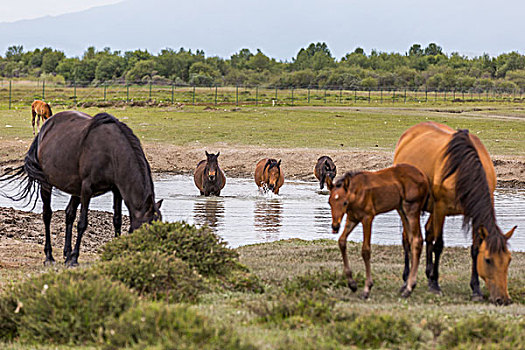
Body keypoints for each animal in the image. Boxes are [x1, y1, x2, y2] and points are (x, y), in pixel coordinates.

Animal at [0, 110, 162, 266]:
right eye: (146, 229)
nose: (152, 258)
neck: (111, 152)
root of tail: (43, 130)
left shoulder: (117, 190)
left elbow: (117, 220)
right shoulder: (87, 189)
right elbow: (82, 223)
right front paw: (74, 259)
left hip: (75, 190)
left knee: (69, 214)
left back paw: (66, 253)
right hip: (47, 184)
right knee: (47, 215)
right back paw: (49, 256)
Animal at [326, 163, 428, 298]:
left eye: (344, 202)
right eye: (329, 202)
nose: (335, 226)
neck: (356, 194)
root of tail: (423, 177)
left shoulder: (367, 217)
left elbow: (365, 250)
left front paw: (367, 288)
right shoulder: (352, 218)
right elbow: (342, 242)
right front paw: (352, 284)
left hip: (412, 208)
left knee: (417, 240)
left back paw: (409, 288)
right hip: (401, 210)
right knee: (411, 240)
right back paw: (407, 285)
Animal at [392, 121, 516, 304]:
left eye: (508, 260)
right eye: (488, 260)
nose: (503, 299)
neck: (463, 168)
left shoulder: (474, 214)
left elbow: (474, 248)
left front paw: (476, 290)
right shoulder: (441, 208)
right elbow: (438, 245)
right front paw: (435, 285)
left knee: (428, 232)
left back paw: (427, 275)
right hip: (409, 208)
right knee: (407, 239)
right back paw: (407, 279)